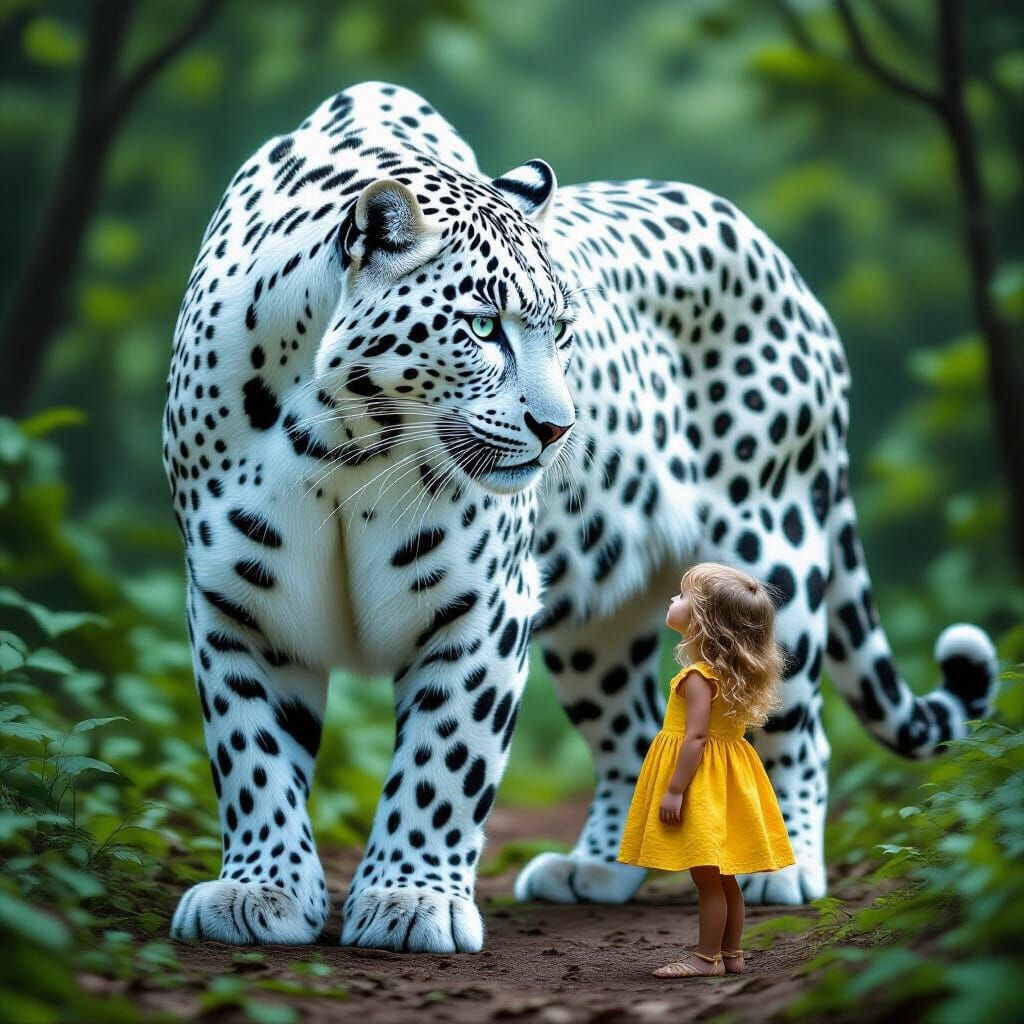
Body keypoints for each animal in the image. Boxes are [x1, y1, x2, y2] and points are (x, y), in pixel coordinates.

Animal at [162, 80, 999, 953]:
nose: (559, 428)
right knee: (632, 736)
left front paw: (409, 902)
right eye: (483, 327)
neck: (343, 449)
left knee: (792, 728)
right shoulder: (236, 602)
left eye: (562, 331)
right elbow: (252, 755)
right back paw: (601, 867)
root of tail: (779, 260)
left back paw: (782, 863)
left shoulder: (483, 606)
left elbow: (442, 762)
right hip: (595, 621)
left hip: (776, 553)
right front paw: (258, 894)